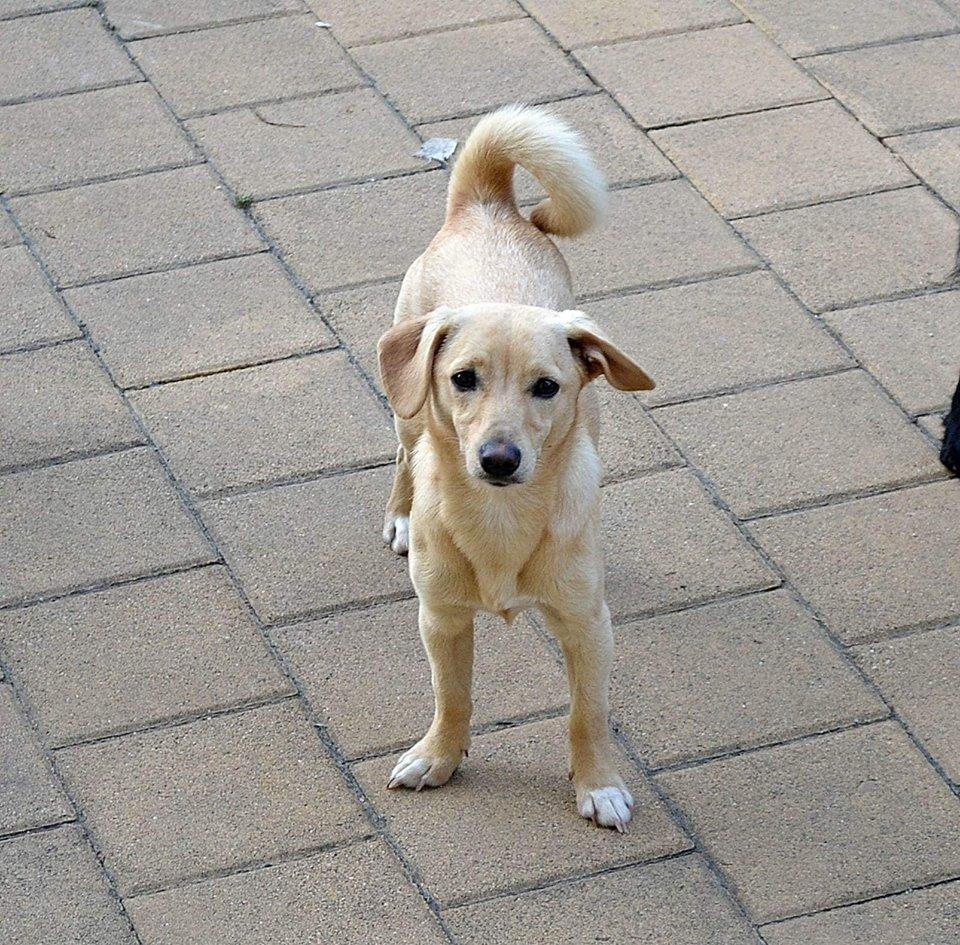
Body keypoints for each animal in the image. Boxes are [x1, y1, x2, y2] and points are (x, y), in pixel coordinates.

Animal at [376, 105, 654, 832]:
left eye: (547, 387)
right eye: (463, 378)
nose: (498, 458)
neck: (500, 519)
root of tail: (487, 203)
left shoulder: (587, 626)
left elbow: (588, 714)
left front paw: (598, 784)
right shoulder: (441, 618)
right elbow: (452, 697)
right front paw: (438, 757)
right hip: (406, 415)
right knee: (404, 455)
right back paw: (400, 515)